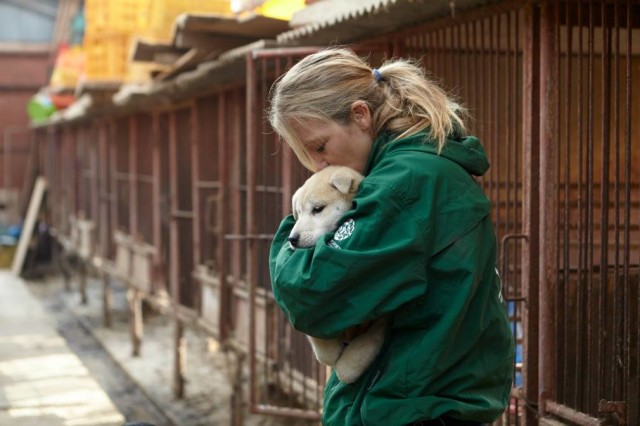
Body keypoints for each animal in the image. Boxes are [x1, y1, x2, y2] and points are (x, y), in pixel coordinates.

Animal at [288, 166, 384, 382]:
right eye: (298, 213)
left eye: (317, 209)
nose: (292, 238)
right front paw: (330, 353)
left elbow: (372, 337)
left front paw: (349, 366)